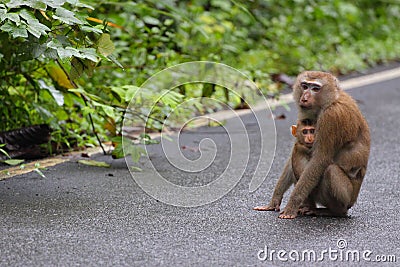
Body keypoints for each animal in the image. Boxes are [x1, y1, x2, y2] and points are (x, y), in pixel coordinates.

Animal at [280, 71, 370, 220]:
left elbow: (320, 159)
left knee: (330, 170)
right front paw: (275, 200)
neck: (331, 100)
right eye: (305, 86)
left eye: (315, 88)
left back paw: (334, 211)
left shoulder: (330, 118)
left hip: (347, 197)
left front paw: (291, 206)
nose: (304, 98)